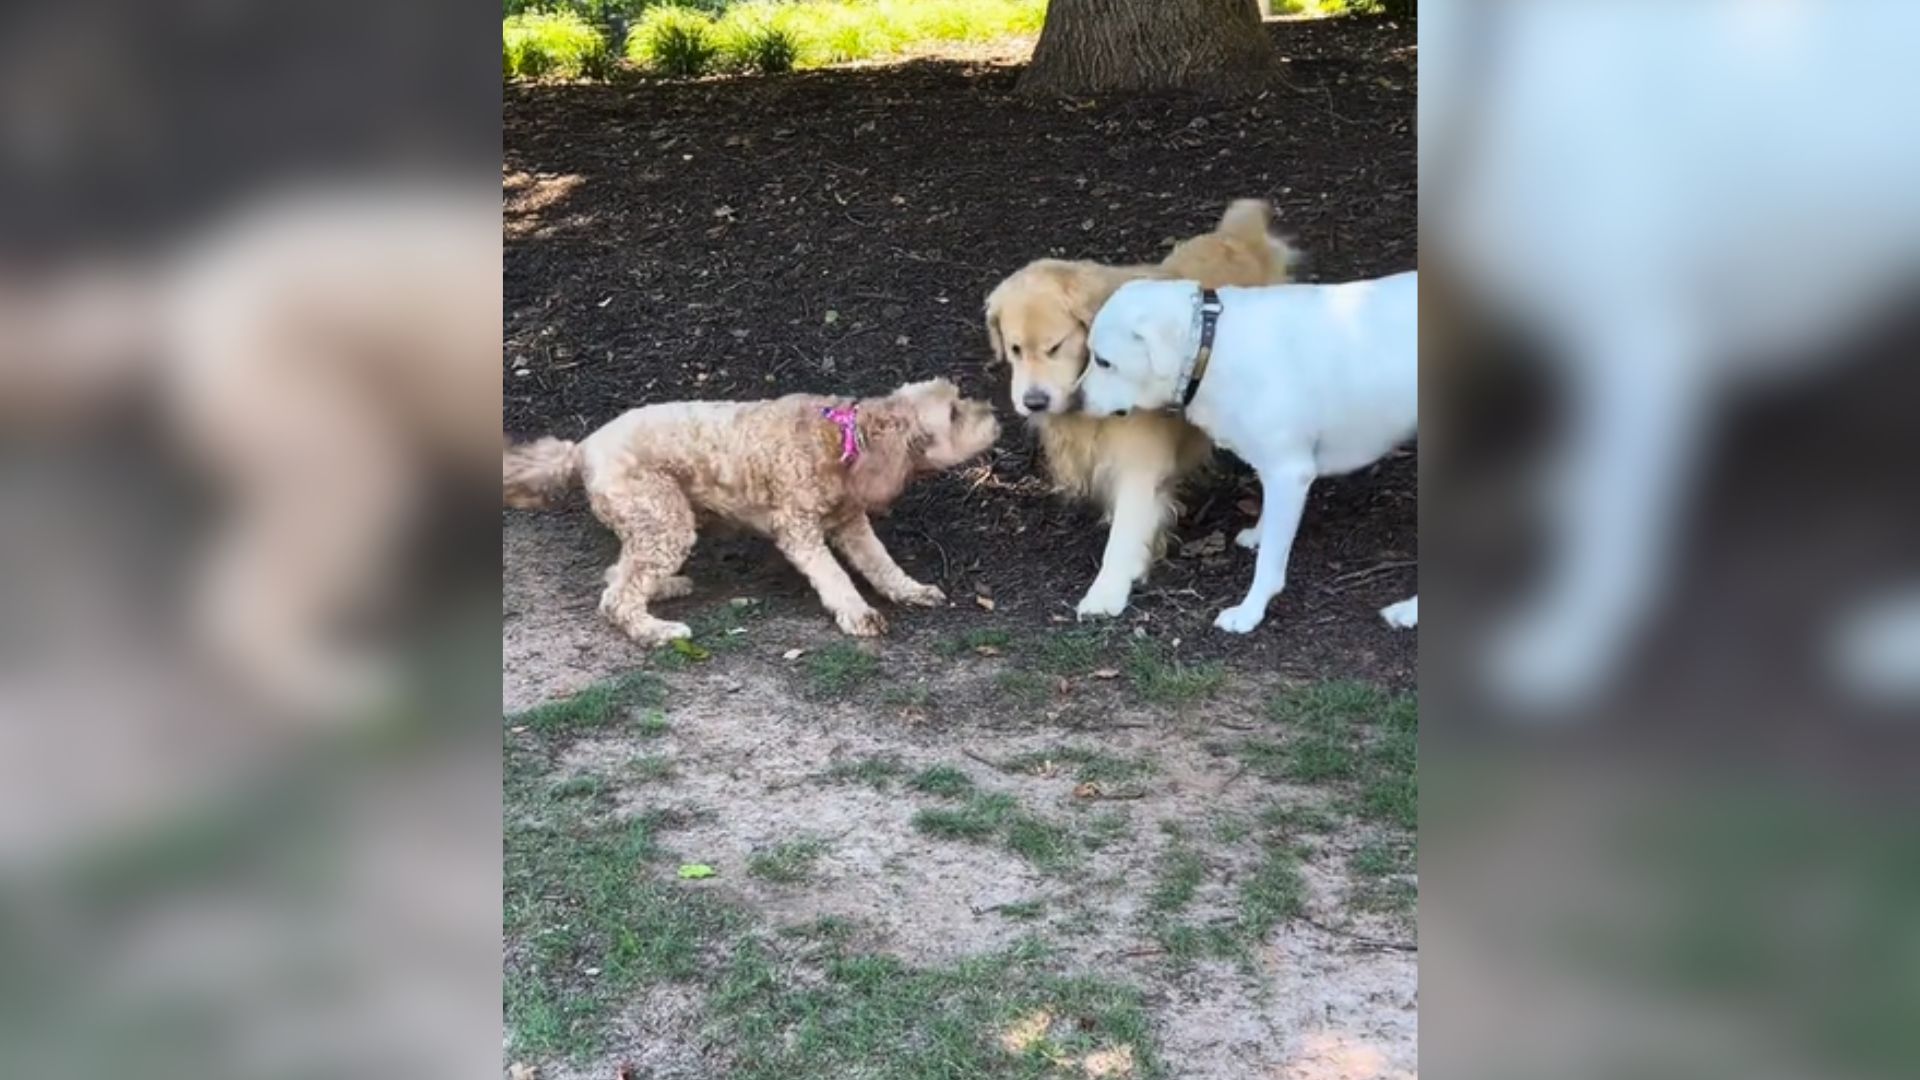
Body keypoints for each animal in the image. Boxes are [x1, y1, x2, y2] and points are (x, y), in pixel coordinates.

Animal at [503, 376, 998, 638]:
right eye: (954, 414)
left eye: (959, 398)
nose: (994, 412)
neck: (843, 440)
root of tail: (581, 449)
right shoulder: (799, 530)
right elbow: (835, 577)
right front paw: (858, 614)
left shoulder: (851, 523)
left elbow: (882, 564)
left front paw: (911, 590)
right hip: (664, 519)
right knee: (616, 598)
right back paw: (658, 631)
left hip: (655, 523)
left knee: (620, 575)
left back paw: (667, 588)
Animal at [990, 199, 1290, 614]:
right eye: (1015, 349)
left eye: (1055, 347)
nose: (1034, 401)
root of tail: (1242, 237)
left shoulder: (1139, 465)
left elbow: (1125, 531)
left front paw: (1107, 591)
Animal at [1082, 272, 1428, 634]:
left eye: (1103, 361)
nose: (1075, 400)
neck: (1211, 345)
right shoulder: (1273, 469)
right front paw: (1259, 534)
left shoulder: (1290, 473)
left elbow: (1269, 565)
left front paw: (1249, 612)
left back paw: (1409, 612)